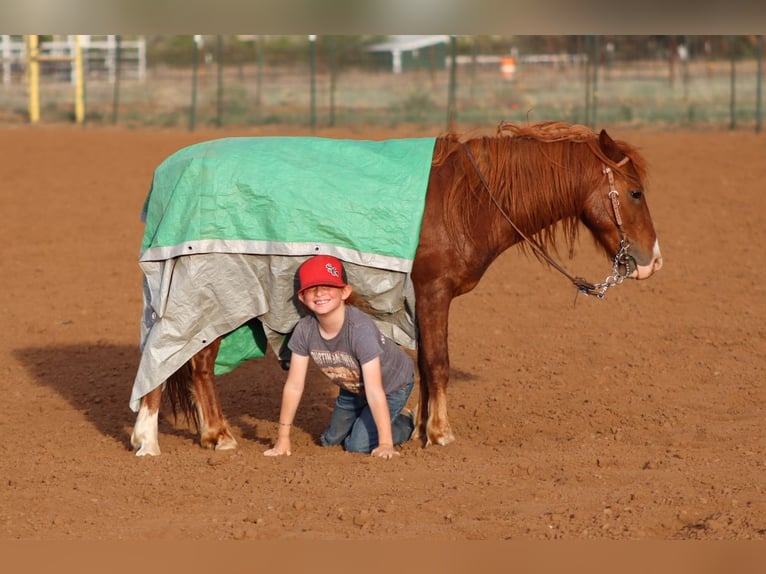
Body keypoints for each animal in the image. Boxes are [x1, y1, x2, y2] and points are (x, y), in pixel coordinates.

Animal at [130, 121, 662, 456]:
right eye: (635, 192)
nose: (653, 261)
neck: (466, 199)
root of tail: (166, 177)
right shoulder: (433, 292)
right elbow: (438, 362)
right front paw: (442, 434)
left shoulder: (422, 301)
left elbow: (425, 365)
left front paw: (424, 428)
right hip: (205, 292)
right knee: (171, 356)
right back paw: (154, 439)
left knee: (191, 361)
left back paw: (210, 435)